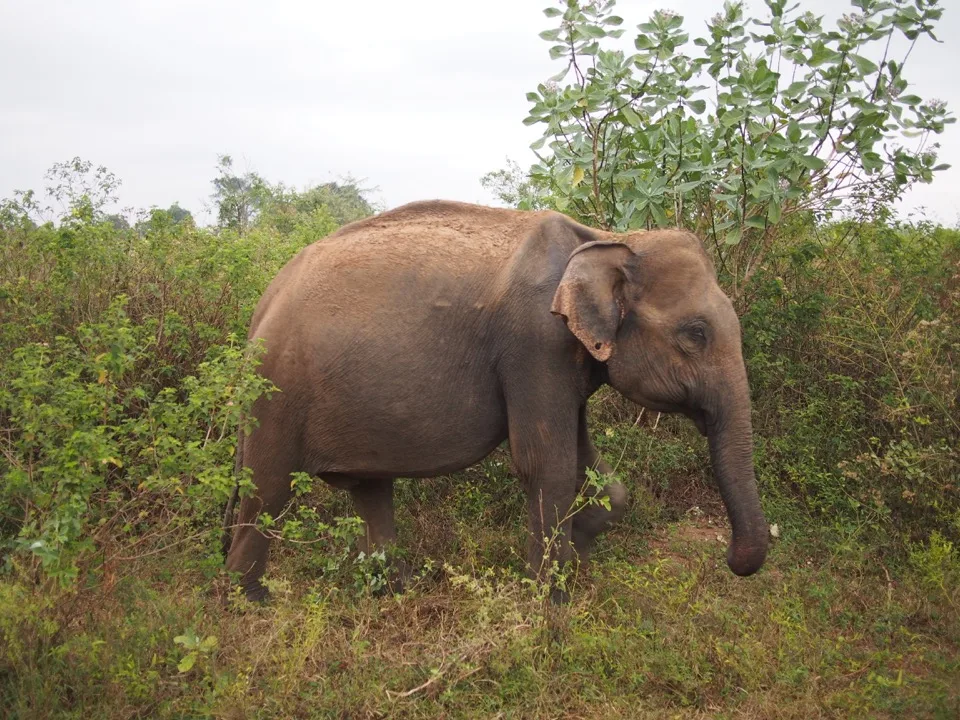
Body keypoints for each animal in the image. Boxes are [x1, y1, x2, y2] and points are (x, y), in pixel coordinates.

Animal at [223, 200, 768, 602]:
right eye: (695, 334)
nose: (732, 560)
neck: (606, 237)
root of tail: (261, 307)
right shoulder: (534, 342)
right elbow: (545, 465)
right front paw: (551, 601)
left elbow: (590, 467)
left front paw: (579, 549)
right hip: (277, 393)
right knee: (267, 491)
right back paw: (250, 604)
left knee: (370, 491)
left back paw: (395, 592)